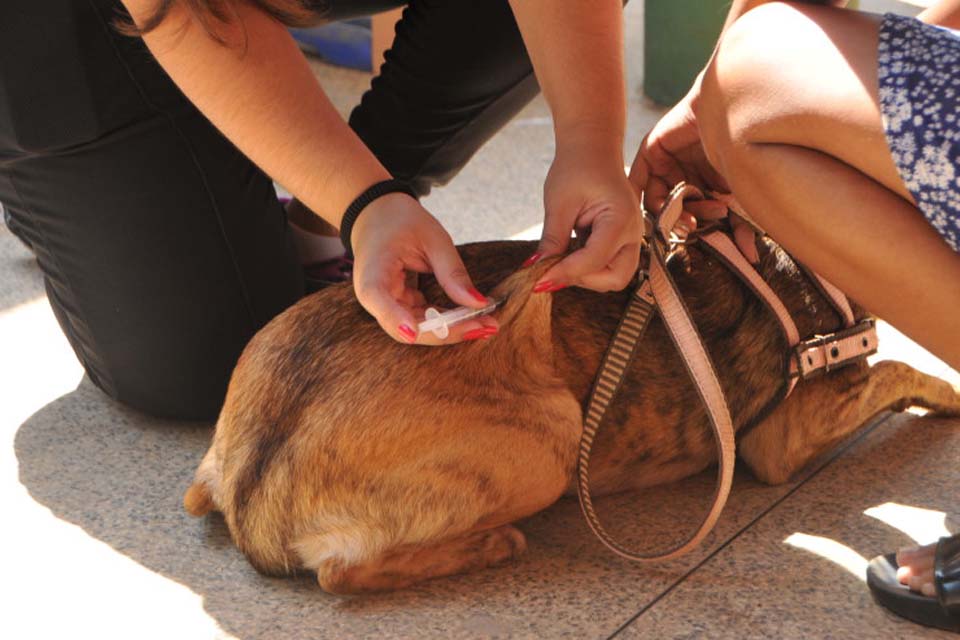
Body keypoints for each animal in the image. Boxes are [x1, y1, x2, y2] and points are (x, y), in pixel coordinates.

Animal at [182, 239, 960, 596]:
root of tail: (249, 492)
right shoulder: (786, 435)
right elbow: (901, 370)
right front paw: (947, 391)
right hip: (552, 438)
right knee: (338, 574)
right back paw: (488, 546)